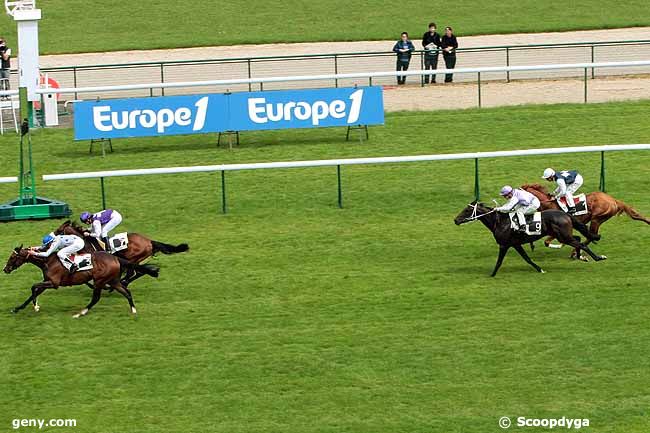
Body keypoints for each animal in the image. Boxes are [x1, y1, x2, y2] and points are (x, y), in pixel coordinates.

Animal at [4, 246, 159, 318]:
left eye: (12, 257)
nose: (5, 269)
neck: (47, 261)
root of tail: (115, 258)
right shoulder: (47, 282)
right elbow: (33, 292)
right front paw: (18, 308)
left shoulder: (54, 283)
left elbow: (33, 287)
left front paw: (35, 306)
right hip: (113, 281)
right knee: (127, 292)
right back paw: (133, 309)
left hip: (99, 281)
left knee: (96, 298)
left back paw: (80, 313)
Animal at [54, 221, 189, 288]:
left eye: (59, 230)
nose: (52, 237)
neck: (87, 243)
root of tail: (149, 241)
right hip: (135, 260)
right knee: (139, 272)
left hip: (134, 258)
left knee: (133, 272)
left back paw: (122, 283)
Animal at [454, 203, 604, 276]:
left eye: (467, 210)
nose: (455, 220)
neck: (500, 222)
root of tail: (565, 214)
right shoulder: (515, 244)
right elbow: (527, 258)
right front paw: (540, 269)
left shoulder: (504, 245)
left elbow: (499, 262)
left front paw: (492, 274)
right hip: (563, 235)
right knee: (578, 239)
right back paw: (580, 256)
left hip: (563, 236)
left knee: (581, 244)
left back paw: (597, 257)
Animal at [520, 182, 648, 250]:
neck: (549, 204)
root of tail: (613, 200)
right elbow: (547, 242)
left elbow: (547, 242)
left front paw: (561, 245)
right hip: (598, 220)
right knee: (592, 236)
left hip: (596, 219)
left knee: (591, 236)